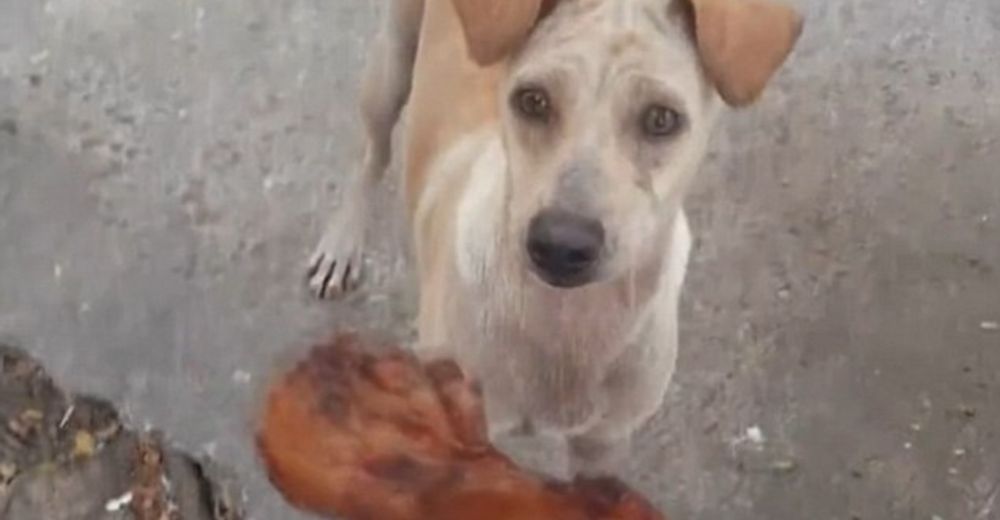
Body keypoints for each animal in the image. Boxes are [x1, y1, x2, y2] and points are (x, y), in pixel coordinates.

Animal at [308, 0, 800, 476]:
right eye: (533, 100)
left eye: (662, 118)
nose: (561, 244)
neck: (565, 322)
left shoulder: (602, 448)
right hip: (391, 63)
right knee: (372, 153)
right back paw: (340, 244)